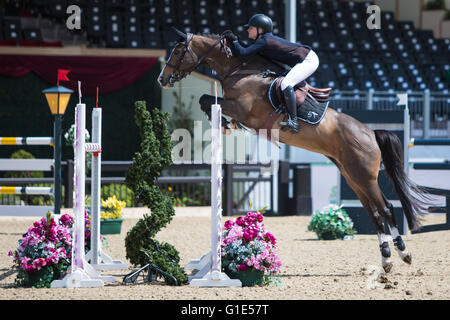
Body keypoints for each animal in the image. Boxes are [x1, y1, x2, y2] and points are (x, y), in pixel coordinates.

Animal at [158, 30, 428, 272]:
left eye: (178, 51)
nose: (162, 79)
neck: (241, 70)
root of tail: (371, 133)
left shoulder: (242, 108)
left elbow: (206, 98)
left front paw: (224, 123)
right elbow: (206, 100)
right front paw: (225, 124)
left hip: (365, 176)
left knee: (385, 208)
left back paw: (403, 253)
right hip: (353, 177)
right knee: (373, 212)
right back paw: (386, 259)